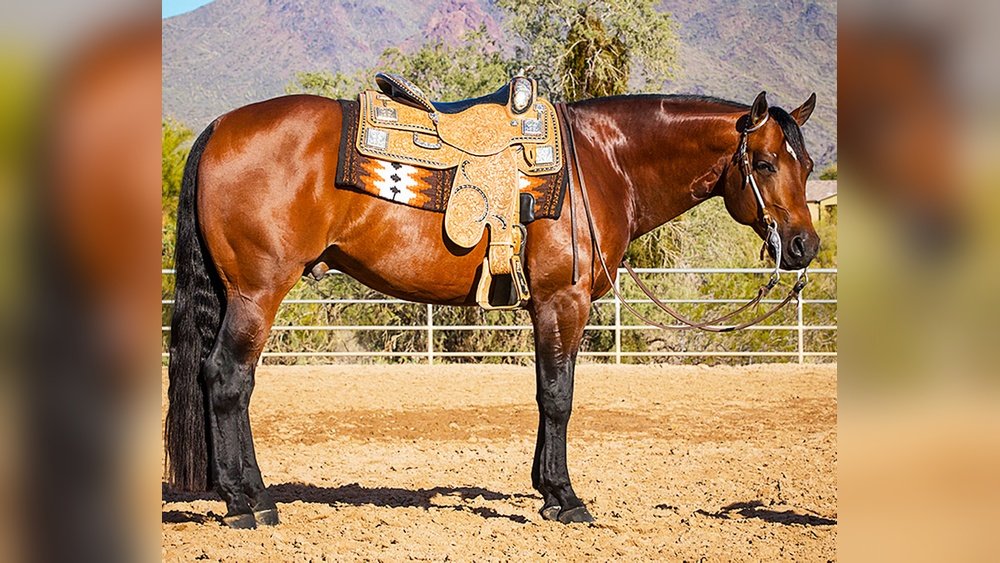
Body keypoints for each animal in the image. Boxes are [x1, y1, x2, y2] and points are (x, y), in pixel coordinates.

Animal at [165, 88, 819, 528]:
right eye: (764, 164)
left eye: (807, 165)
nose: (804, 246)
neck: (602, 162)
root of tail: (220, 126)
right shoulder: (562, 303)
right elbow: (558, 398)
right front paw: (565, 498)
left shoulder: (549, 309)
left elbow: (547, 394)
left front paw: (546, 489)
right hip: (257, 292)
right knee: (226, 379)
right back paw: (244, 503)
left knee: (231, 382)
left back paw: (252, 493)